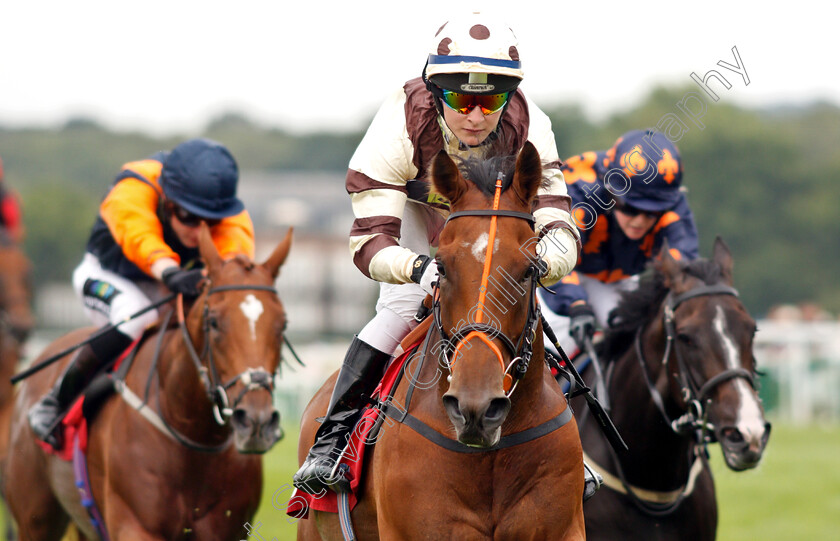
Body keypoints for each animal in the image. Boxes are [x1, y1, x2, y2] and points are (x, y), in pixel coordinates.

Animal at [4, 226, 292, 536]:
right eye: (213, 322)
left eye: (282, 325)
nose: (256, 421)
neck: (190, 431)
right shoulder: (135, 525)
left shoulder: (228, 528)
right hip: (35, 518)